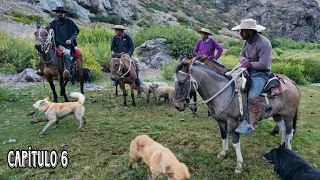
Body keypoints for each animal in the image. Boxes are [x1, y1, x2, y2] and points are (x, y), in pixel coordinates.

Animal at [172, 58, 300, 173]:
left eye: (181, 82)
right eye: (174, 81)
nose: (177, 106)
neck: (223, 92)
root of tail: (292, 84)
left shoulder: (233, 122)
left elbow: (236, 142)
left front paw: (239, 165)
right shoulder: (221, 121)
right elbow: (223, 135)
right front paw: (223, 153)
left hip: (288, 117)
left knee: (289, 133)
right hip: (277, 115)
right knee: (284, 130)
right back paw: (281, 147)